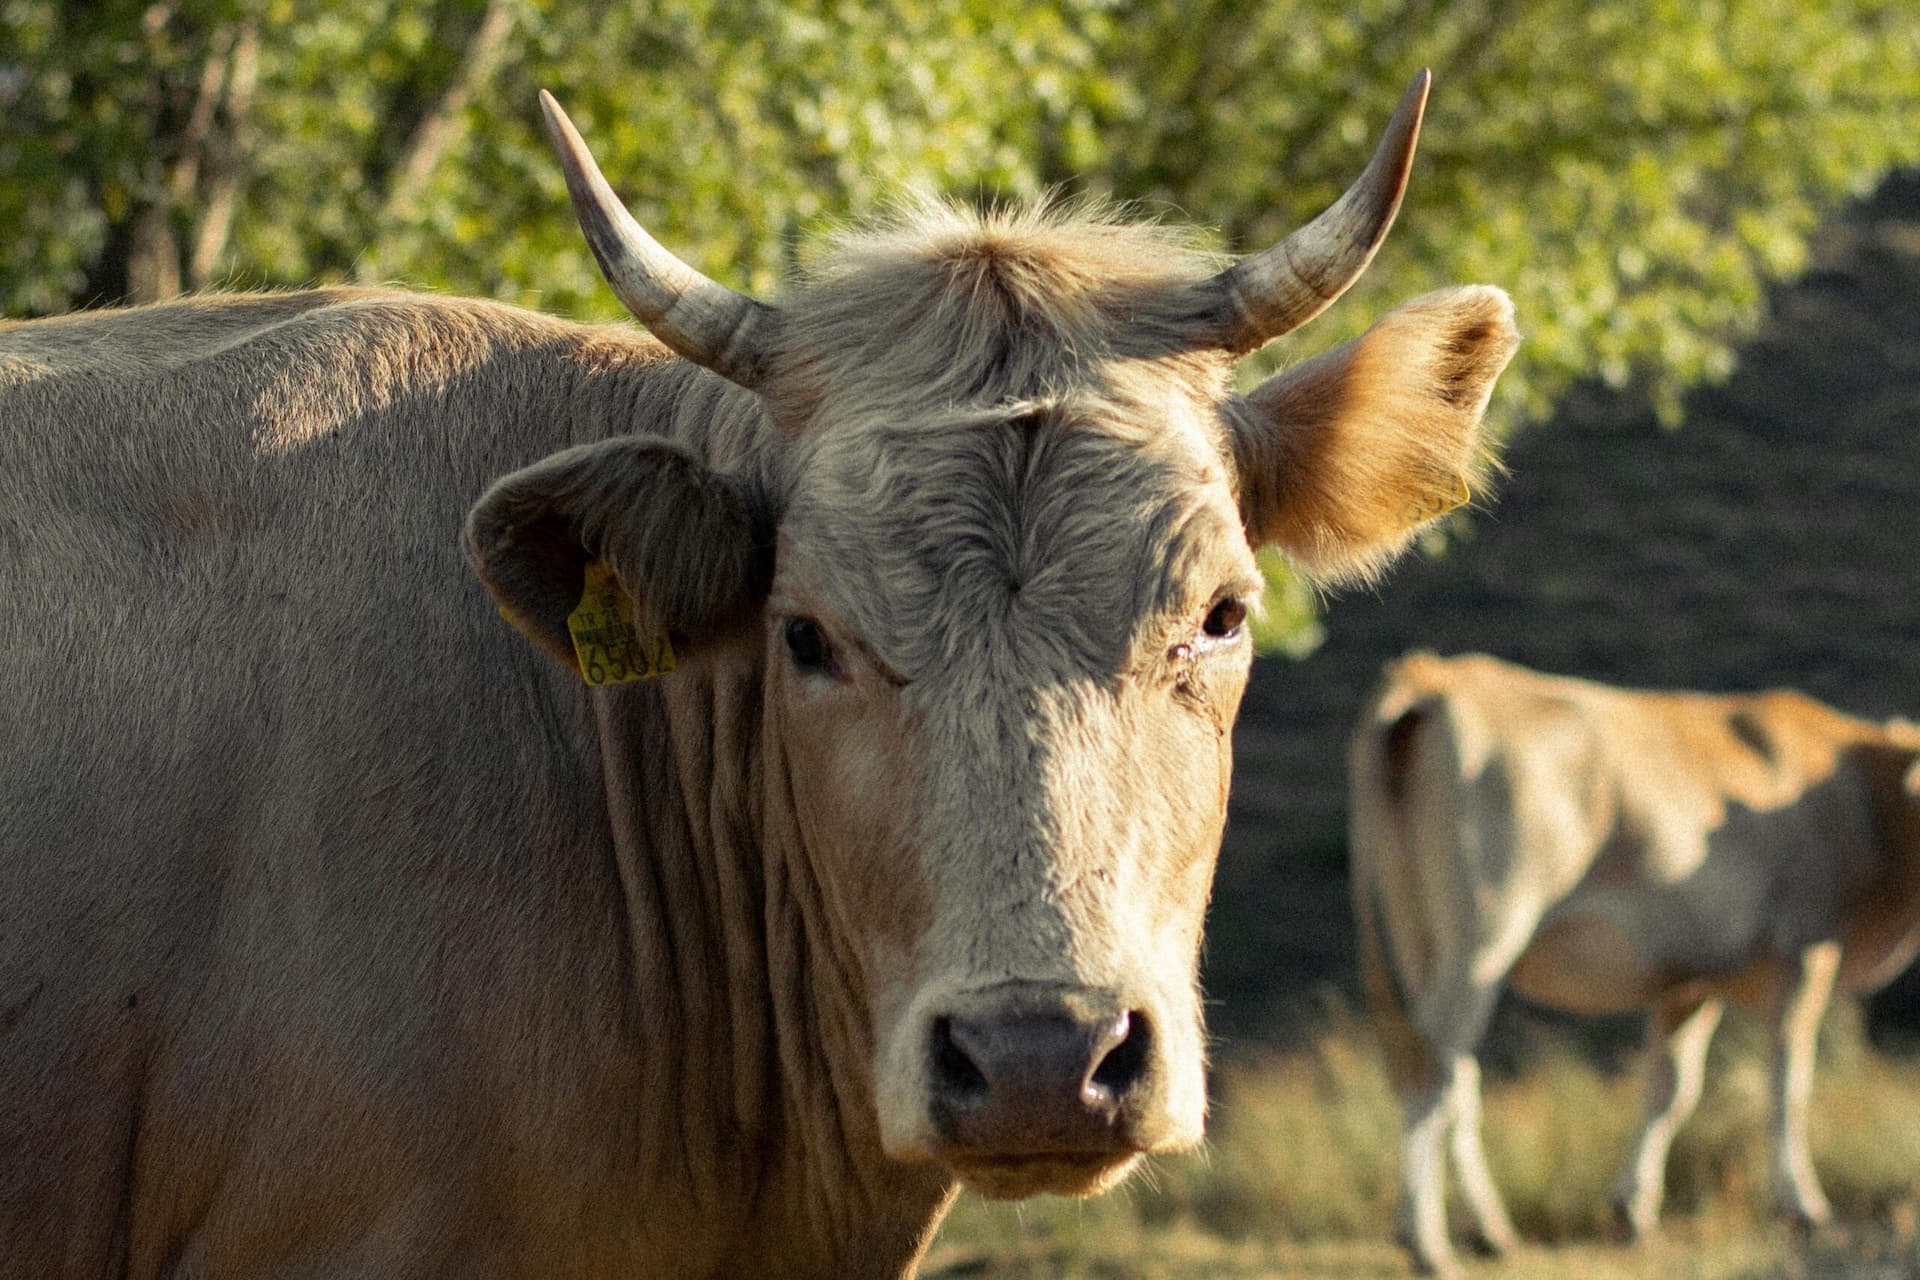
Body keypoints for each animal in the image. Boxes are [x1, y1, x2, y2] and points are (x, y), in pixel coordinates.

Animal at [1351, 656, 1920, 1274]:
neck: (1865, 794)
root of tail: (1435, 676)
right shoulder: (1806, 952)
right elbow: (1788, 1082)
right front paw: (1801, 1207)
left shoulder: (1688, 982)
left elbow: (1670, 1090)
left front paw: (1631, 1210)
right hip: (1482, 939)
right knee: (1432, 1068)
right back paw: (1427, 1241)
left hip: (1401, 936)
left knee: (1448, 1073)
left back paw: (1490, 1231)